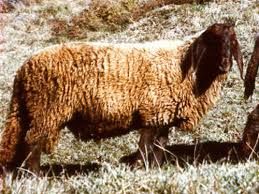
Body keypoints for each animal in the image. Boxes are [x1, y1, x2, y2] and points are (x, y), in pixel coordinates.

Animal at [0, 22, 244, 173]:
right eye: (213, 42)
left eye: (232, 43)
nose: (225, 65)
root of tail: (23, 70)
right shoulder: (151, 112)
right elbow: (145, 146)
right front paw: (140, 168)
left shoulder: (163, 116)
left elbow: (160, 147)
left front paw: (154, 170)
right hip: (46, 111)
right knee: (32, 144)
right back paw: (35, 176)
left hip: (33, 112)